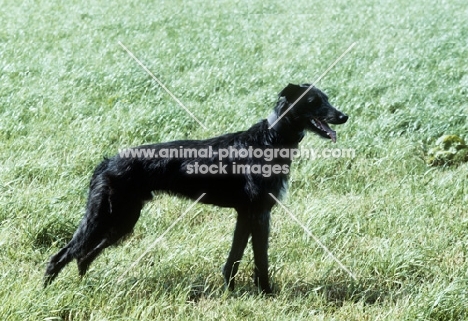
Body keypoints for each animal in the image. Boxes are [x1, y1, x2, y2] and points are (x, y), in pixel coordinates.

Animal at [44, 83, 348, 292]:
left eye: (327, 98)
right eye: (314, 101)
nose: (344, 116)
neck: (270, 140)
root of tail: (106, 162)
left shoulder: (245, 214)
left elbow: (235, 257)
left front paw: (229, 291)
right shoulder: (259, 213)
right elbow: (260, 259)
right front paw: (267, 292)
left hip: (121, 221)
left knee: (83, 257)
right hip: (105, 217)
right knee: (60, 256)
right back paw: (48, 294)